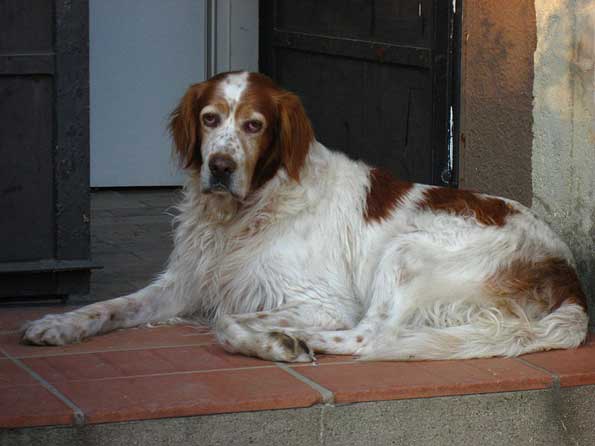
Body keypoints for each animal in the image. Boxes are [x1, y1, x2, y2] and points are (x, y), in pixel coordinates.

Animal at [21, 70, 588, 362]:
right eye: (209, 119)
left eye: (254, 125)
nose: (220, 167)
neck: (249, 210)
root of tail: (566, 270)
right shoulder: (185, 283)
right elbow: (110, 306)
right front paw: (56, 324)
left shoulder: (322, 303)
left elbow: (226, 318)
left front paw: (272, 339)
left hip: (406, 253)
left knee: (370, 338)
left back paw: (290, 342)